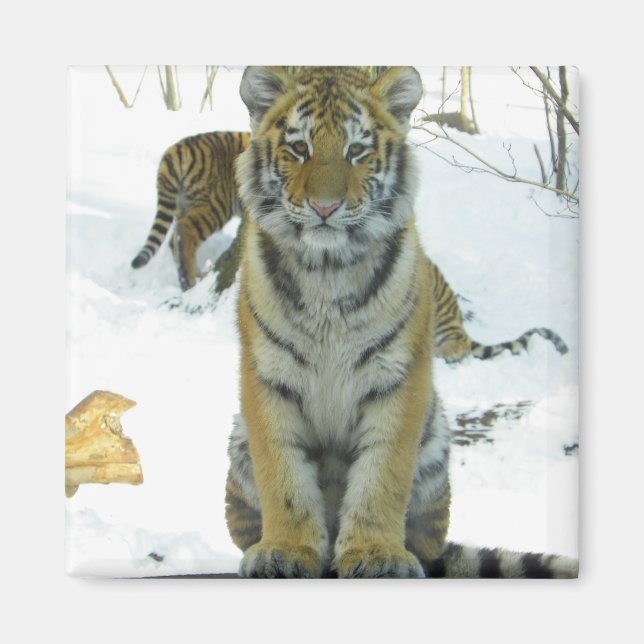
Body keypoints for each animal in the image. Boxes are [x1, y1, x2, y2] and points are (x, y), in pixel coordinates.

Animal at [130, 130, 250, 291]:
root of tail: (178, 147)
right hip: (217, 204)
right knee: (186, 231)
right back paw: (190, 281)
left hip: (183, 204)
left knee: (174, 239)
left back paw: (194, 276)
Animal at [224, 65, 577, 578]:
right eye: (300, 148)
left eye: (356, 150)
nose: (325, 208)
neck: (327, 270)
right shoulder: (268, 375)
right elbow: (283, 473)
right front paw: (285, 550)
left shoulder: (399, 376)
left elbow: (382, 474)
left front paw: (378, 554)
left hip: (436, 438)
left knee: (429, 545)